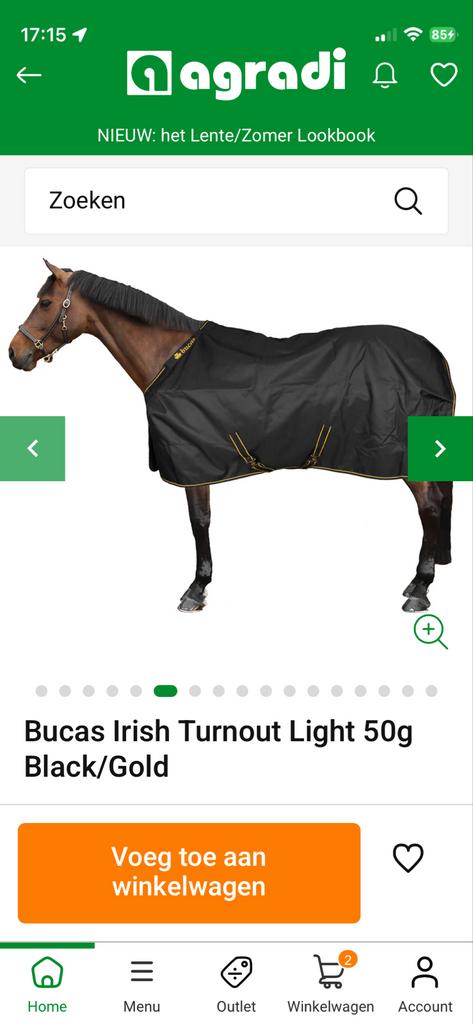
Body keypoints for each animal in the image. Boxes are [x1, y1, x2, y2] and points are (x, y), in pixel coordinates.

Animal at [9, 260, 454, 614]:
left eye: (45, 302)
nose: (15, 353)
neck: (170, 359)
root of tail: (435, 357)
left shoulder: (193, 462)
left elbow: (199, 522)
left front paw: (196, 589)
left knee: (430, 507)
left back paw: (420, 589)